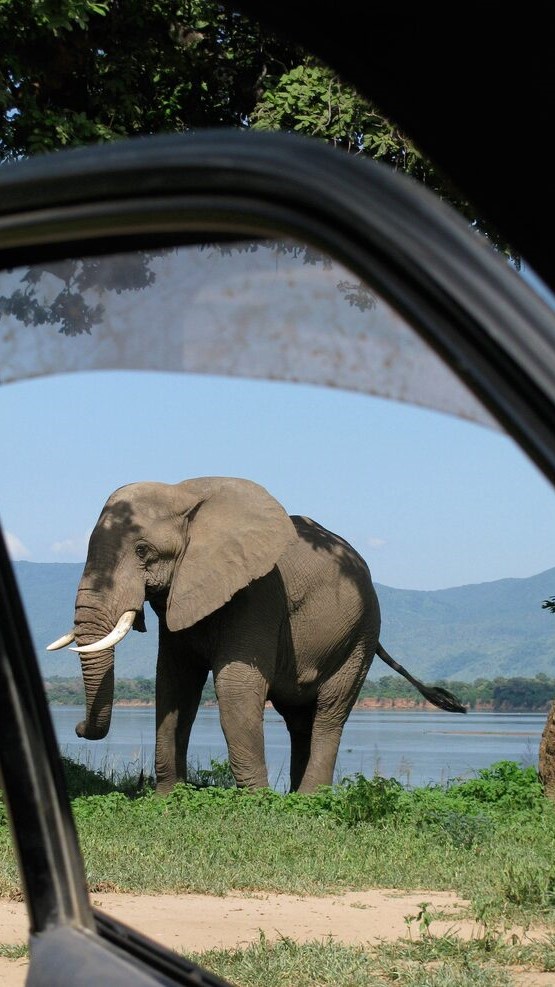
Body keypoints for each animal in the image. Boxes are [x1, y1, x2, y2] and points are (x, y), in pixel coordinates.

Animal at [48, 476, 465, 793]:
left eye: (142, 550)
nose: (77, 728)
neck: (184, 493)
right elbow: (174, 683)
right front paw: (167, 799)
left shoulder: (259, 593)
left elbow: (235, 685)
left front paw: (256, 802)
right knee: (299, 718)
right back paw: (295, 796)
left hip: (361, 633)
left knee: (330, 712)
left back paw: (310, 799)